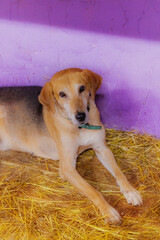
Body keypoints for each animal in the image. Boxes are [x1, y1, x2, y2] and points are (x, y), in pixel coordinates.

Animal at [0, 68, 142, 224]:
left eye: (82, 88)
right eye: (62, 94)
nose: (80, 116)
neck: (80, 128)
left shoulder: (102, 149)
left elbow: (119, 173)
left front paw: (130, 191)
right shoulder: (67, 167)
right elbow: (93, 190)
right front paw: (108, 210)